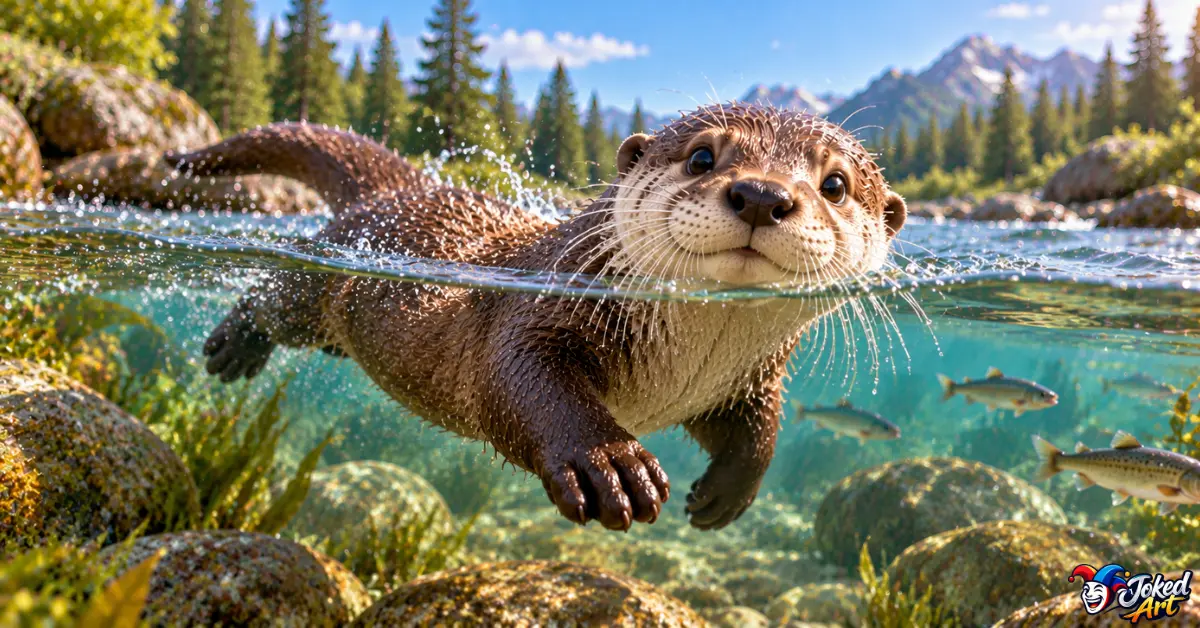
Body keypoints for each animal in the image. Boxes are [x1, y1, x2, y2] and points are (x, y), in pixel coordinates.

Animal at [166, 103, 907, 531]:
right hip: (326, 273)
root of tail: (403, 187)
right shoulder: (535, 309)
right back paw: (233, 346)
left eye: (836, 184)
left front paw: (726, 496)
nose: (760, 194)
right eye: (703, 155)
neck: (682, 365)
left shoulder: (740, 378)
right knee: (274, 296)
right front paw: (607, 463)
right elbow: (518, 378)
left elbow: (758, 429)